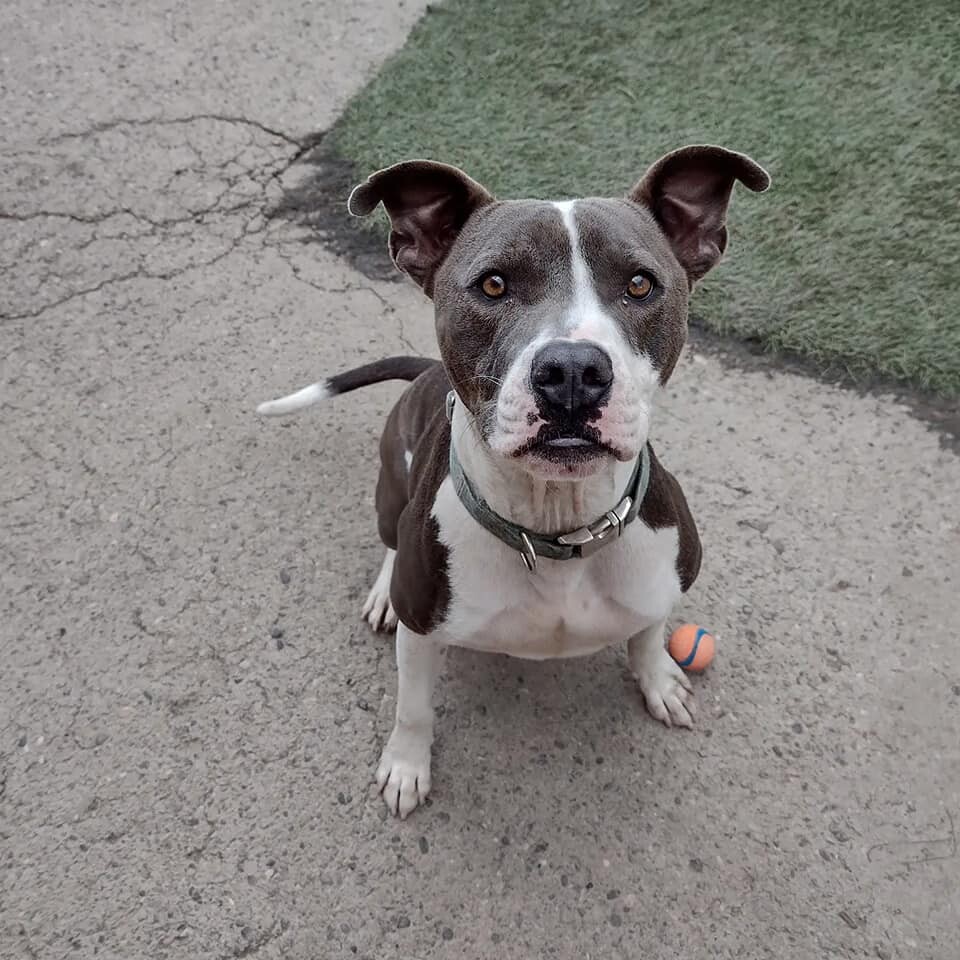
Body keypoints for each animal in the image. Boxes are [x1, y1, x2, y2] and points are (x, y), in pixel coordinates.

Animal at [258, 144, 768, 816]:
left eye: (640, 284)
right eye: (493, 284)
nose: (573, 370)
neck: (558, 526)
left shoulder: (660, 579)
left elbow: (649, 632)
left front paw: (658, 678)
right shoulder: (423, 632)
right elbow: (413, 706)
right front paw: (406, 765)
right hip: (390, 489)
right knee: (391, 536)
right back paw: (383, 592)